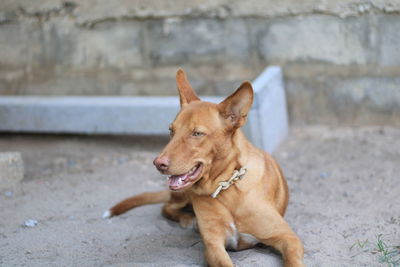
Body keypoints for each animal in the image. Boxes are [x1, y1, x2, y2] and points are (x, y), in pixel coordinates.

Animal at [103, 69, 304, 267]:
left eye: (197, 133)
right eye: (171, 131)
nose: (158, 163)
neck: (226, 188)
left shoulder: (288, 238)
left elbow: (293, 260)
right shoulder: (213, 246)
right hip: (182, 195)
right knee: (167, 207)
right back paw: (188, 219)